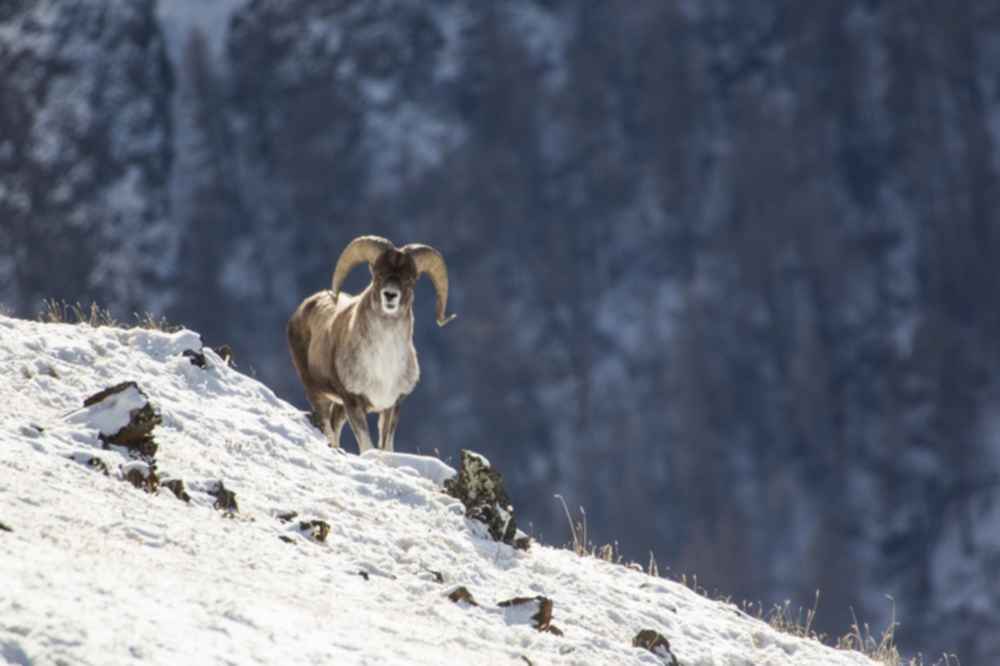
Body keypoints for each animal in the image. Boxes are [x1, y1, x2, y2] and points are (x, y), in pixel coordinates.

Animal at [288, 235, 456, 452]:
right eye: (378, 274)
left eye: (410, 280)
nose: (390, 295)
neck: (383, 363)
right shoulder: (353, 403)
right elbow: (367, 446)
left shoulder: (391, 406)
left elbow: (386, 446)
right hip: (317, 394)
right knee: (327, 428)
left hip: (339, 407)